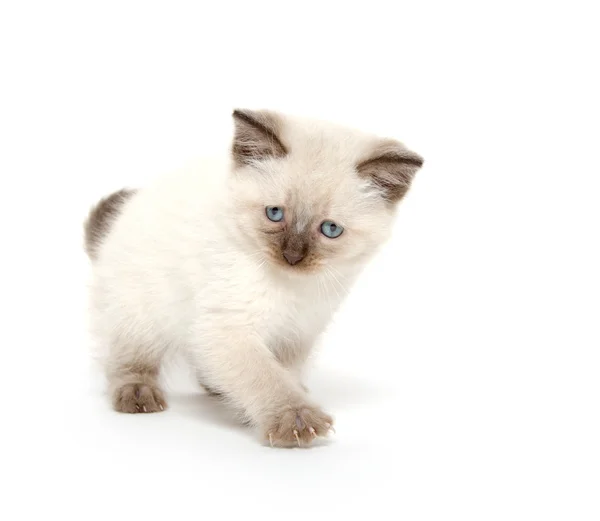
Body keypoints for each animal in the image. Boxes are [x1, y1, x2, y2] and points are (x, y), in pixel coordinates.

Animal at [84, 109, 422, 446]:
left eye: (330, 229)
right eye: (275, 213)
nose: (292, 256)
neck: (292, 287)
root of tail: (117, 222)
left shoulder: (297, 333)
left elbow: (283, 374)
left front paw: (284, 401)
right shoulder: (229, 329)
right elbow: (265, 377)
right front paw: (297, 419)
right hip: (139, 314)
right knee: (128, 359)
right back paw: (138, 395)